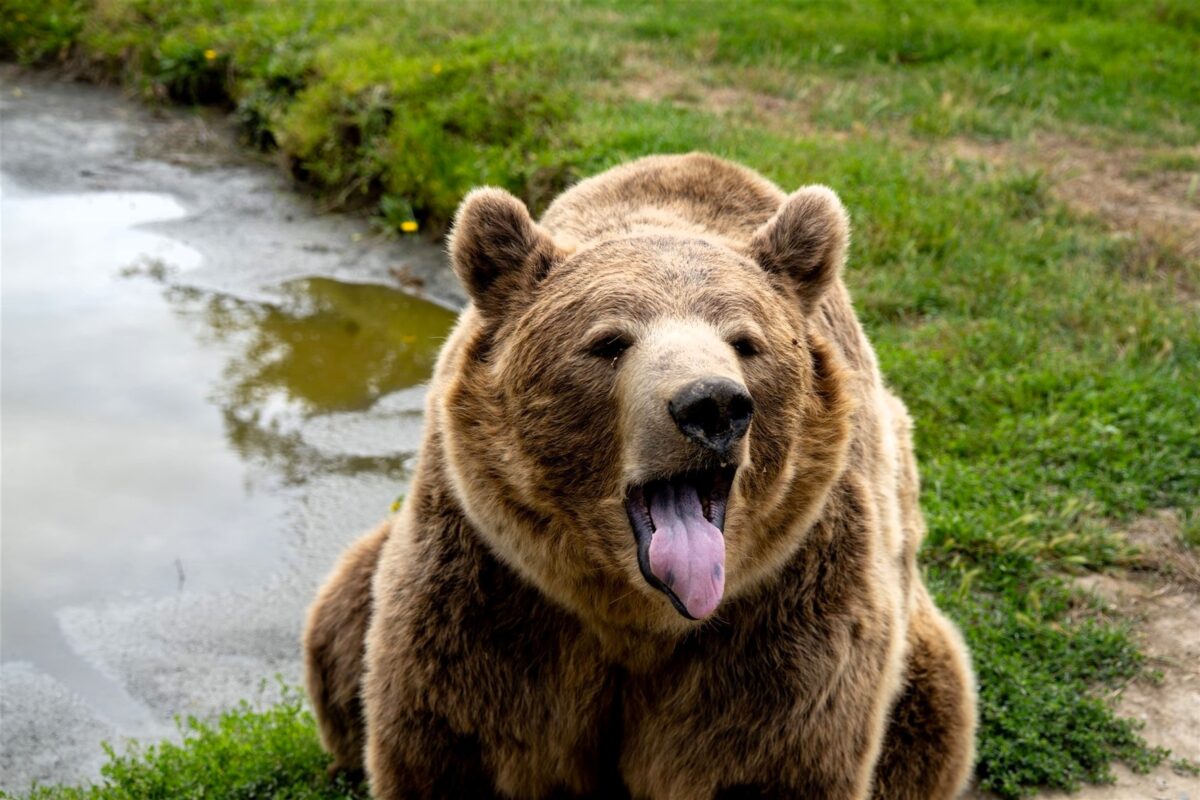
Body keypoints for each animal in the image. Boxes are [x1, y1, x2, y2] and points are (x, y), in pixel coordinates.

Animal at [303, 152, 977, 799]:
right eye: (608, 341)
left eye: (746, 341)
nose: (713, 405)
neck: (639, 616)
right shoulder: (493, 593)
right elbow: (448, 738)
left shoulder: (787, 614)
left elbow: (779, 755)